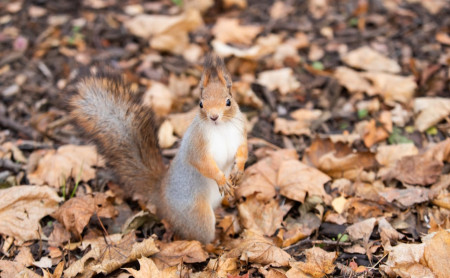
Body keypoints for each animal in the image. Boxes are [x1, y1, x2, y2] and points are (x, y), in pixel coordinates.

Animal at [68, 54, 248, 243]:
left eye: (228, 101)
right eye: (200, 104)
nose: (213, 117)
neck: (220, 128)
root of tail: (161, 195)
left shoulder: (240, 133)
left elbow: (243, 151)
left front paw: (238, 170)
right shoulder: (197, 144)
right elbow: (202, 163)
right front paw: (221, 179)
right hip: (198, 215)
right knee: (199, 237)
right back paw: (215, 243)